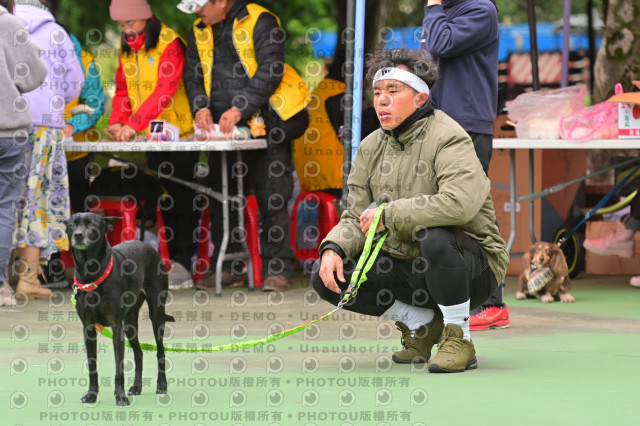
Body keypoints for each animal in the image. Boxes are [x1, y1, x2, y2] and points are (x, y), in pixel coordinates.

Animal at [67, 212, 174, 406]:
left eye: (92, 224)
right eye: (72, 225)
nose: (78, 235)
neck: (90, 271)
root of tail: (148, 246)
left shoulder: (117, 328)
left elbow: (119, 369)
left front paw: (120, 396)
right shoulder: (88, 328)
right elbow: (92, 365)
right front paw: (91, 394)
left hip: (156, 314)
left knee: (160, 350)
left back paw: (162, 385)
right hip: (130, 322)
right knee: (139, 353)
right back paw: (137, 386)